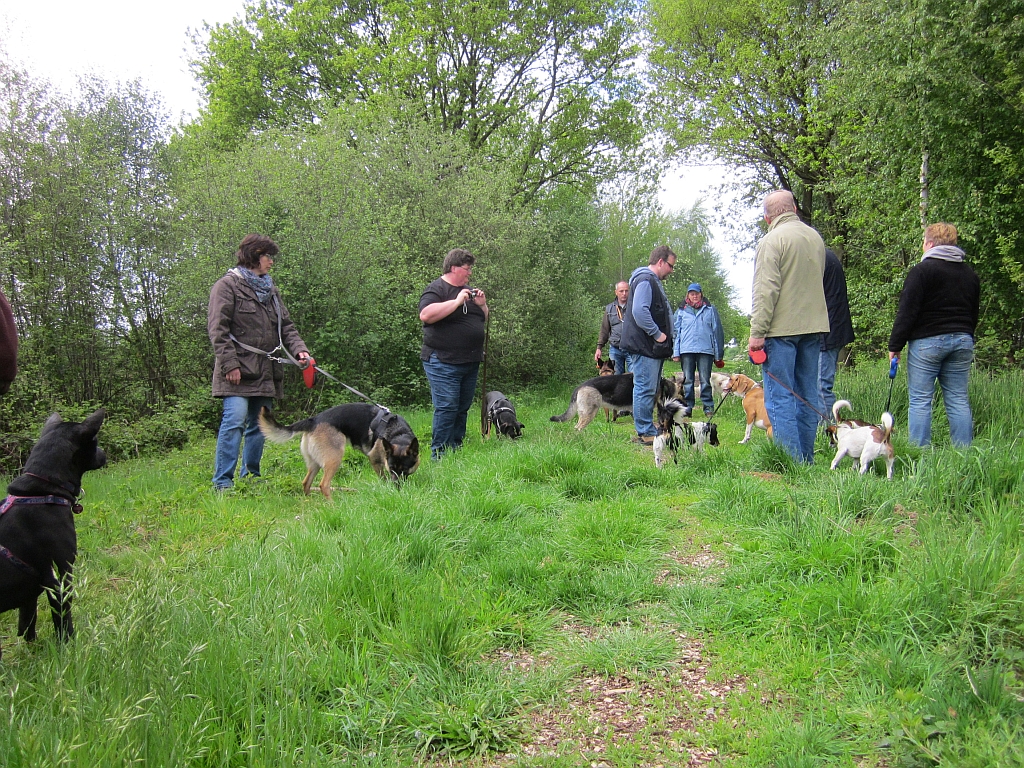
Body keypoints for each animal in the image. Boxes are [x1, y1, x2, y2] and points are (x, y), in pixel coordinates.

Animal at [0, 409, 105, 663]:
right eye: (95, 441)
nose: (105, 453)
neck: (41, 491)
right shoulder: (60, 573)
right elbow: (63, 619)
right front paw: (69, 647)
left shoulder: (35, 589)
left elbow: (28, 622)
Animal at [260, 403, 419, 499]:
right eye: (391, 469)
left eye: (404, 469)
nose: (397, 489)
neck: (398, 432)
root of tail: (313, 420)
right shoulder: (374, 459)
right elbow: (383, 478)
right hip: (334, 458)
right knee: (323, 484)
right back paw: (332, 506)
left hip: (315, 463)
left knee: (306, 482)